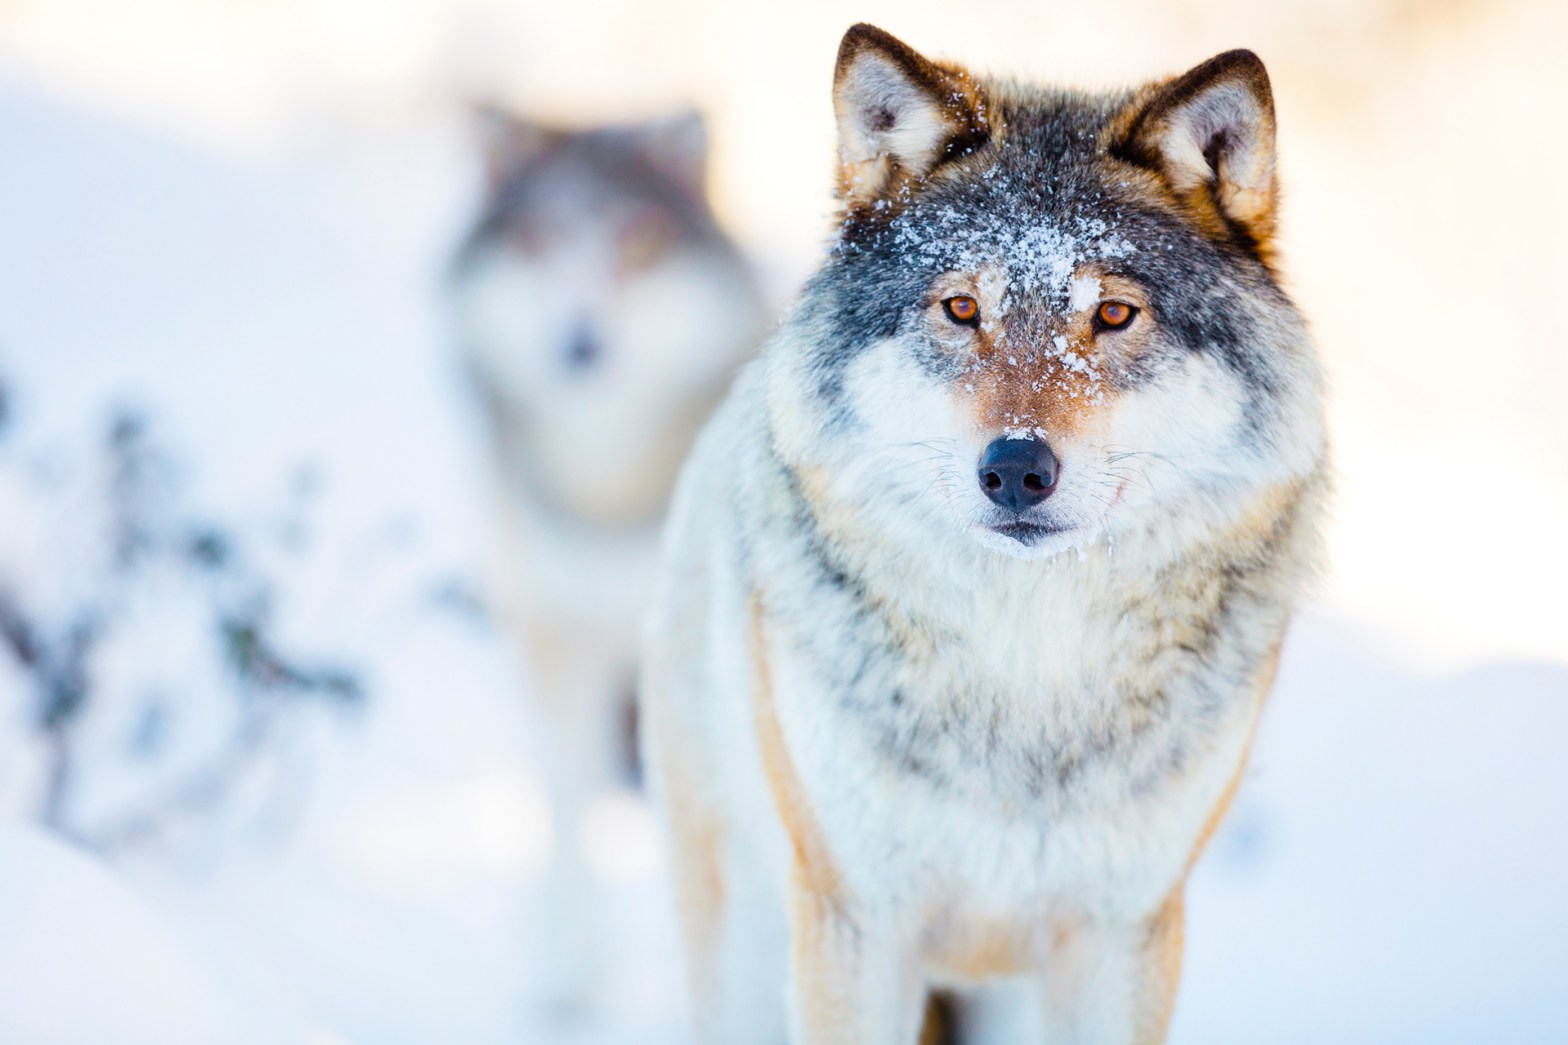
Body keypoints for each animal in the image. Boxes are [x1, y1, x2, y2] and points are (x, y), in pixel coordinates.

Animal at [448, 107, 766, 1005]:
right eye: (535, 242)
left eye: (641, 242)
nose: (580, 346)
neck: (612, 495)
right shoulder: (561, 642)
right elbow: (568, 817)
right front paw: (568, 973)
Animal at [641, 24, 1328, 1044]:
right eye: (962, 309)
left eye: (1113, 313)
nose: (1014, 469)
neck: (1026, 675)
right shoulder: (855, 924)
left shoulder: (1124, 934)